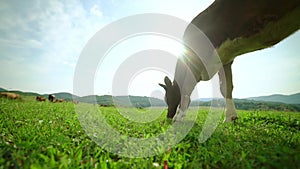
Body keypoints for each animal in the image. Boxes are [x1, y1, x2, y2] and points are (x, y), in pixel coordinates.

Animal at [159, 0, 300, 122]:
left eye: (167, 98)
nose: (168, 116)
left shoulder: (198, 56)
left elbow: (187, 86)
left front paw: (178, 116)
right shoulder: (225, 60)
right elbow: (226, 87)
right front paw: (230, 117)